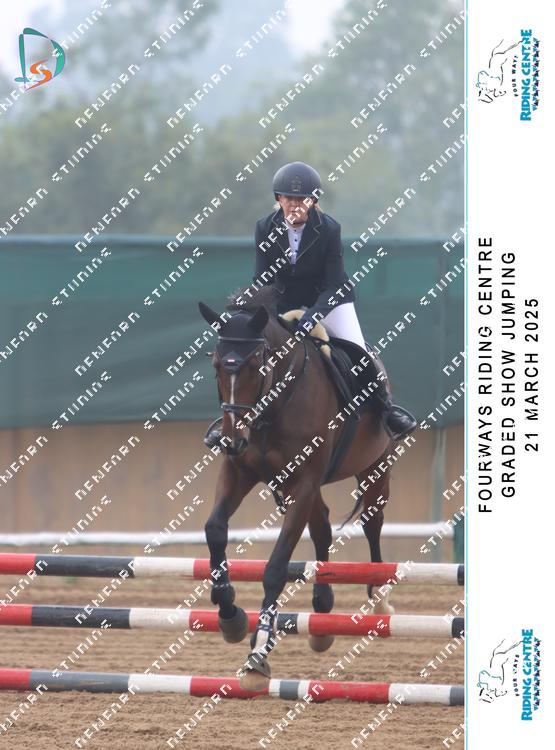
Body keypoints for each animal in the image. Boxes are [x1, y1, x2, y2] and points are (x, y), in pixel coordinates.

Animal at [198, 285, 394, 691]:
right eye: (216, 367)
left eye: (257, 365)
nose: (232, 440)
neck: (273, 407)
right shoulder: (238, 471)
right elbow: (215, 529)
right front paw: (229, 613)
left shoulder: (302, 484)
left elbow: (275, 567)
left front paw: (257, 655)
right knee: (321, 527)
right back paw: (322, 612)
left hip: (375, 466)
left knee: (372, 521)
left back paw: (379, 597)